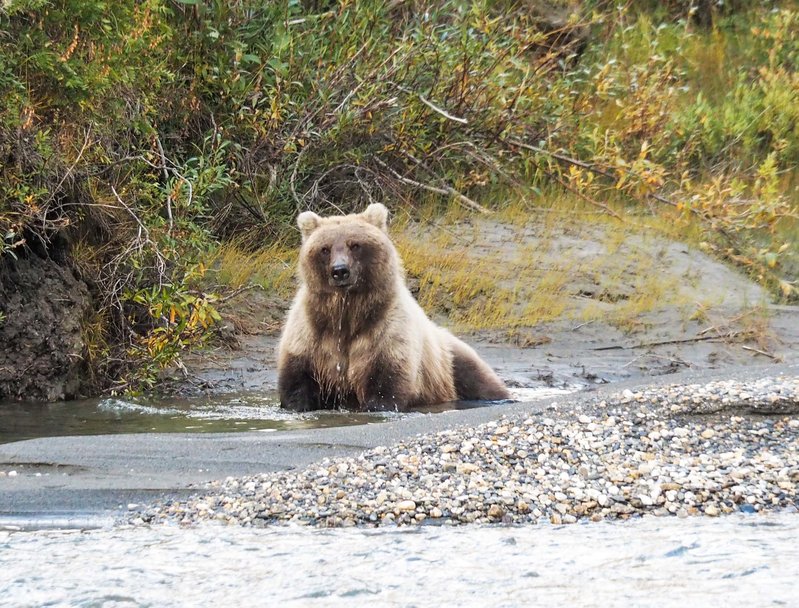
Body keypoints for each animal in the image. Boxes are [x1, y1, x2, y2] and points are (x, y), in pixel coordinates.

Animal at [278, 204, 510, 414]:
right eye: (325, 248)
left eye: (355, 245)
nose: (340, 271)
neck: (346, 313)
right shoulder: (309, 336)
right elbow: (297, 380)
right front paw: (298, 405)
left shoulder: (387, 331)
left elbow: (386, 380)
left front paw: (376, 406)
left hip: (451, 360)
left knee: (478, 379)